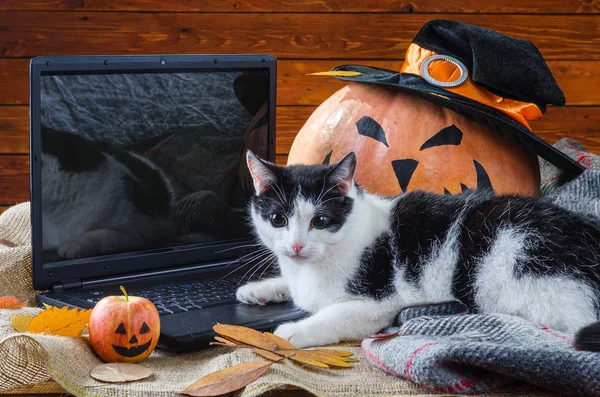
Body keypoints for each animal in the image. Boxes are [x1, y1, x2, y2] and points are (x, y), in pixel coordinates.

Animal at [234, 150, 600, 348]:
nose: (297, 245)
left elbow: (333, 317)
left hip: (510, 262)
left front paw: (293, 330)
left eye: (320, 221)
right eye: (278, 219)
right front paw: (259, 290)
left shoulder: (377, 304)